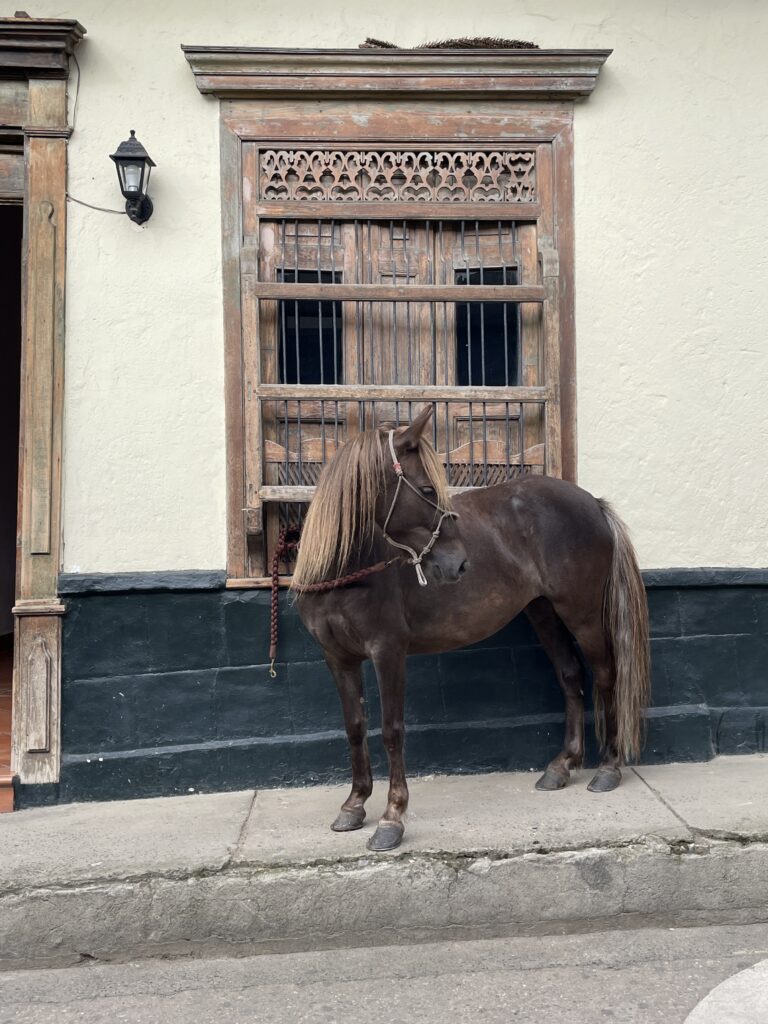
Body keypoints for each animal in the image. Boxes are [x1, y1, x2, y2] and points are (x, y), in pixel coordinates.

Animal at [292, 405, 650, 852]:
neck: (346, 572)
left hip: (581, 611)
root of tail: (593, 503)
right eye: (427, 490)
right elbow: (354, 728)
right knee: (571, 676)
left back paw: (608, 768)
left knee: (605, 675)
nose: (458, 563)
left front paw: (392, 818)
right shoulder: (338, 658)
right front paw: (354, 805)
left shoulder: (387, 651)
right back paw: (562, 766)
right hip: (543, 611)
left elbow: (392, 730)